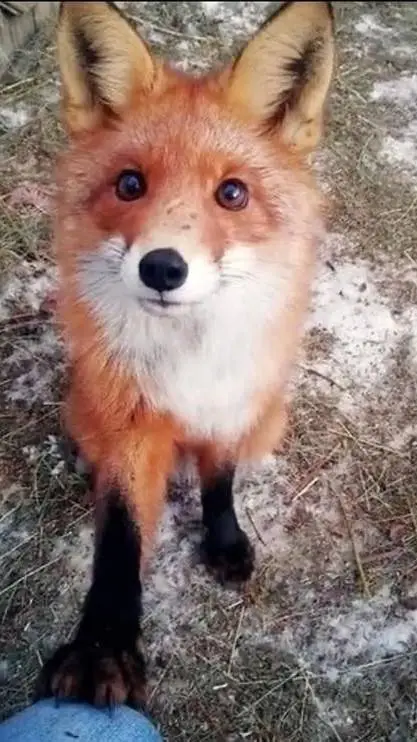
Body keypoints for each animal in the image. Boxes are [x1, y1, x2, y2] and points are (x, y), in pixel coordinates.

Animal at [36, 0, 335, 710]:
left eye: (232, 193)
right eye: (129, 184)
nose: (163, 268)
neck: (186, 361)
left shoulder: (229, 402)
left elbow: (219, 481)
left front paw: (223, 542)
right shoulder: (128, 421)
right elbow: (120, 534)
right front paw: (103, 646)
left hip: (269, 414)